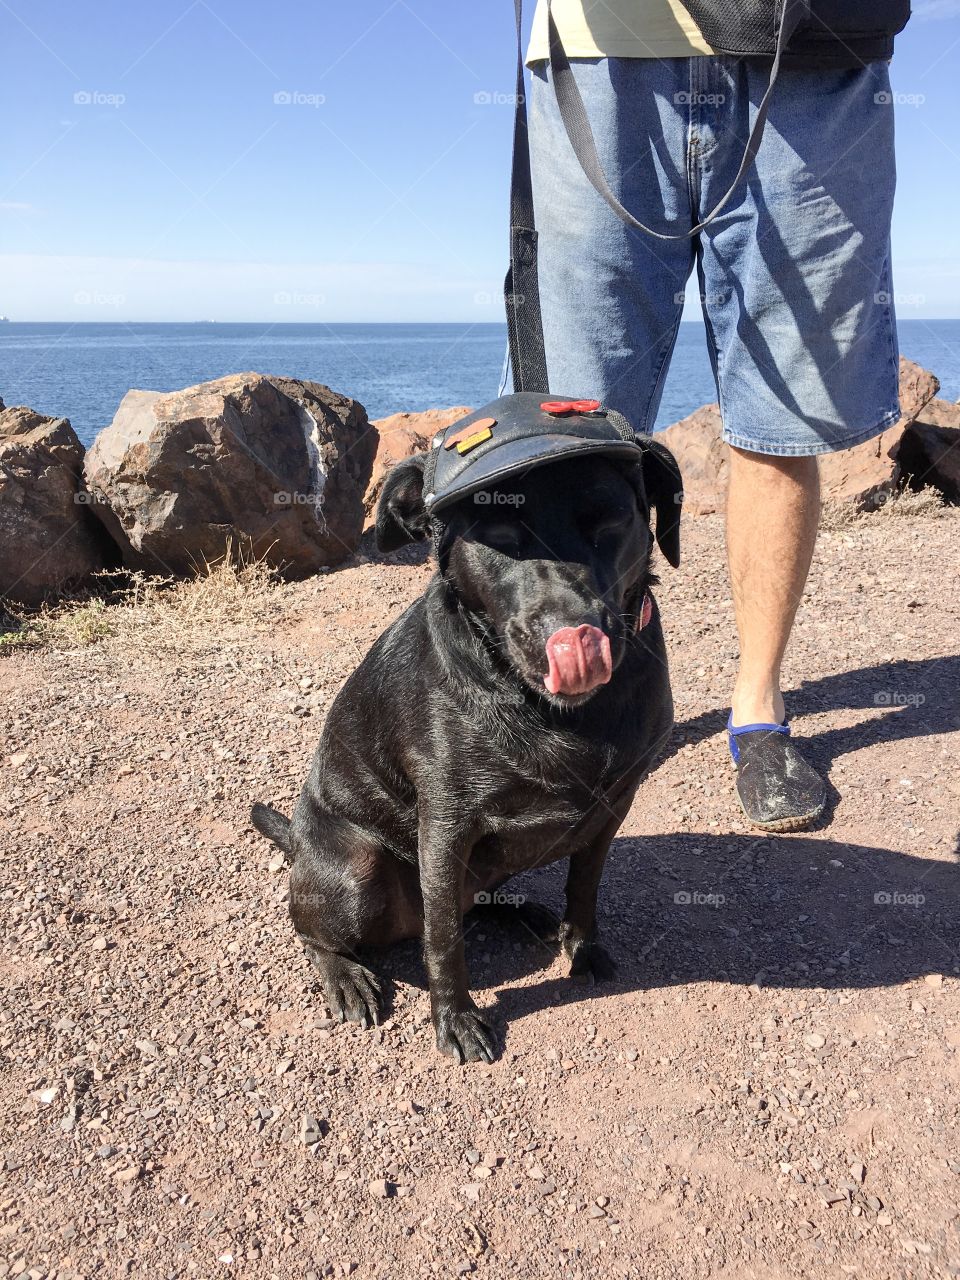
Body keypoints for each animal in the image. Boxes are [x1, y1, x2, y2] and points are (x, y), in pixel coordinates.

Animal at [252, 440, 680, 1059]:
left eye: (610, 518)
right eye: (499, 536)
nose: (571, 634)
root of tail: (297, 843)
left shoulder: (612, 808)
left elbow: (585, 889)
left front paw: (583, 949)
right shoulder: (445, 828)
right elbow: (443, 941)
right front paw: (455, 1017)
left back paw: (521, 913)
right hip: (356, 870)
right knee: (315, 933)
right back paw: (346, 977)